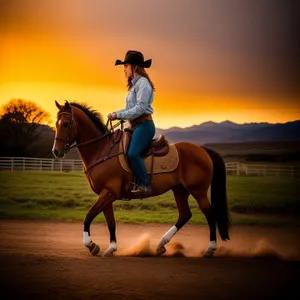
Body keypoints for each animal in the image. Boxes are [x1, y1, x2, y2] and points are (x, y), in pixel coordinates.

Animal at [51, 101, 231, 258]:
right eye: (56, 123)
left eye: (66, 124)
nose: (56, 151)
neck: (101, 150)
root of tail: (203, 150)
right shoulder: (106, 195)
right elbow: (110, 222)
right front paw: (111, 248)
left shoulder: (109, 193)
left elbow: (88, 216)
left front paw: (91, 245)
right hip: (180, 190)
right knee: (185, 215)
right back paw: (161, 245)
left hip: (198, 191)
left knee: (210, 214)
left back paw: (209, 249)